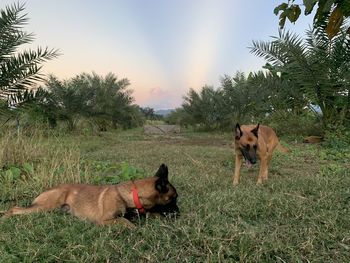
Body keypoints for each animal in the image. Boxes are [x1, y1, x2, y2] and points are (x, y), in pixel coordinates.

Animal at [1, 164, 179, 228]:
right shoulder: (106, 220)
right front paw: (136, 229)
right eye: (173, 198)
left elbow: (152, 214)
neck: (130, 195)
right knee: (14, 208)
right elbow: (126, 222)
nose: (178, 213)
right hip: (44, 207)